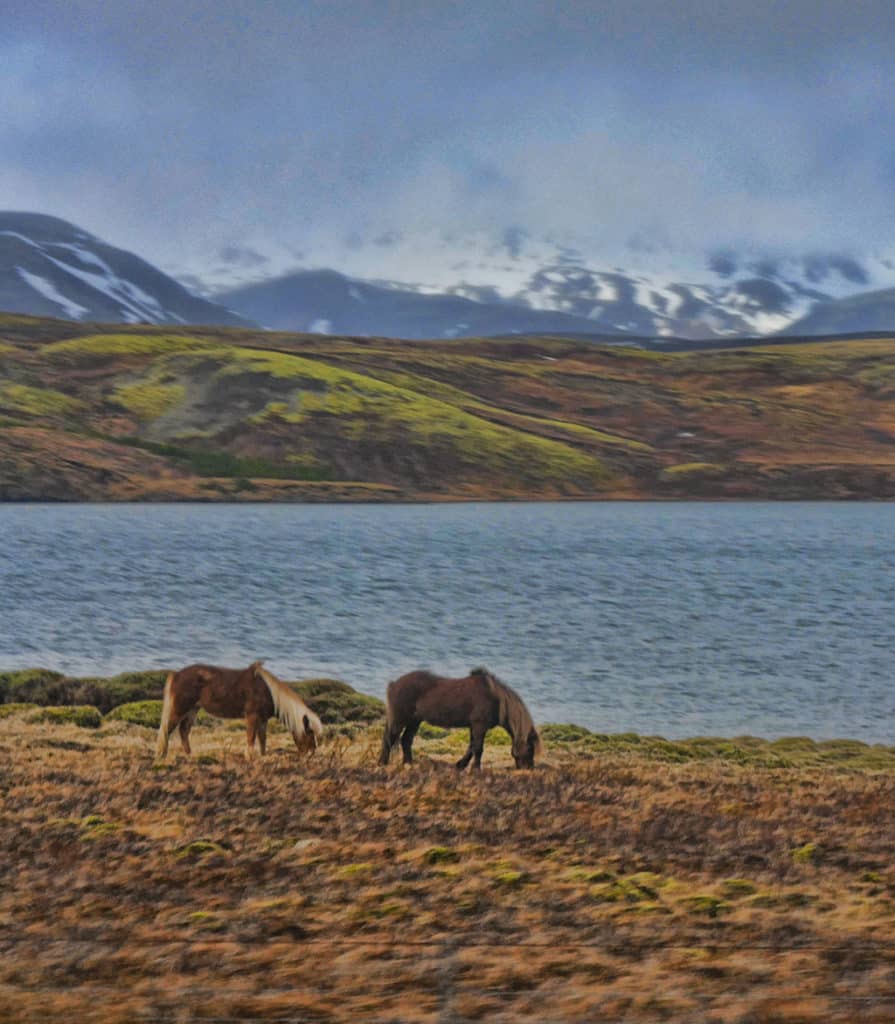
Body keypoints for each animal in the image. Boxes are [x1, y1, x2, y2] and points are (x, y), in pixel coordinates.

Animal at [155, 661, 323, 760]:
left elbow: (262, 739)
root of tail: (176, 674)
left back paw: (190, 755)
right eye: (309, 732)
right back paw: (162, 754)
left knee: (184, 731)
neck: (268, 691)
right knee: (168, 730)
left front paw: (262, 756)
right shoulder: (252, 717)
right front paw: (249, 756)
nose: (311, 753)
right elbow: (251, 737)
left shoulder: (263, 720)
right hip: (180, 709)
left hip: (192, 710)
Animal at [379, 667, 541, 770]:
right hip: (400, 719)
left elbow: (471, 747)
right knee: (390, 738)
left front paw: (460, 765)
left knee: (406, 740)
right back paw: (383, 763)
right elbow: (478, 748)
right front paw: (476, 769)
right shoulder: (479, 726)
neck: (495, 699)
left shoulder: (474, 727)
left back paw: (408, 764)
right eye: (530, 748)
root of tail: (394, 684)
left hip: (415, 721)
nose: (529, 768)